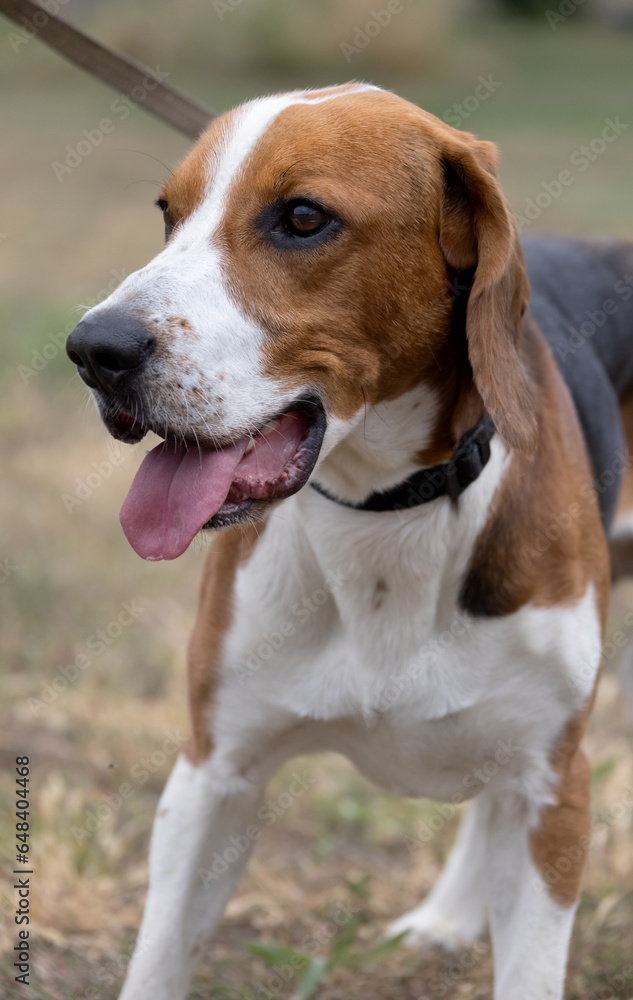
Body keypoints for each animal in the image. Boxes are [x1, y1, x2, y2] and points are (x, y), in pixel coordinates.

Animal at [65, 84, 632, 1000]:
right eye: (169, 215)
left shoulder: (554, 794)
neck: (384, 512)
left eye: (302, 218)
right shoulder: (212, 776)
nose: (92, 350)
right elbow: (155, 963)